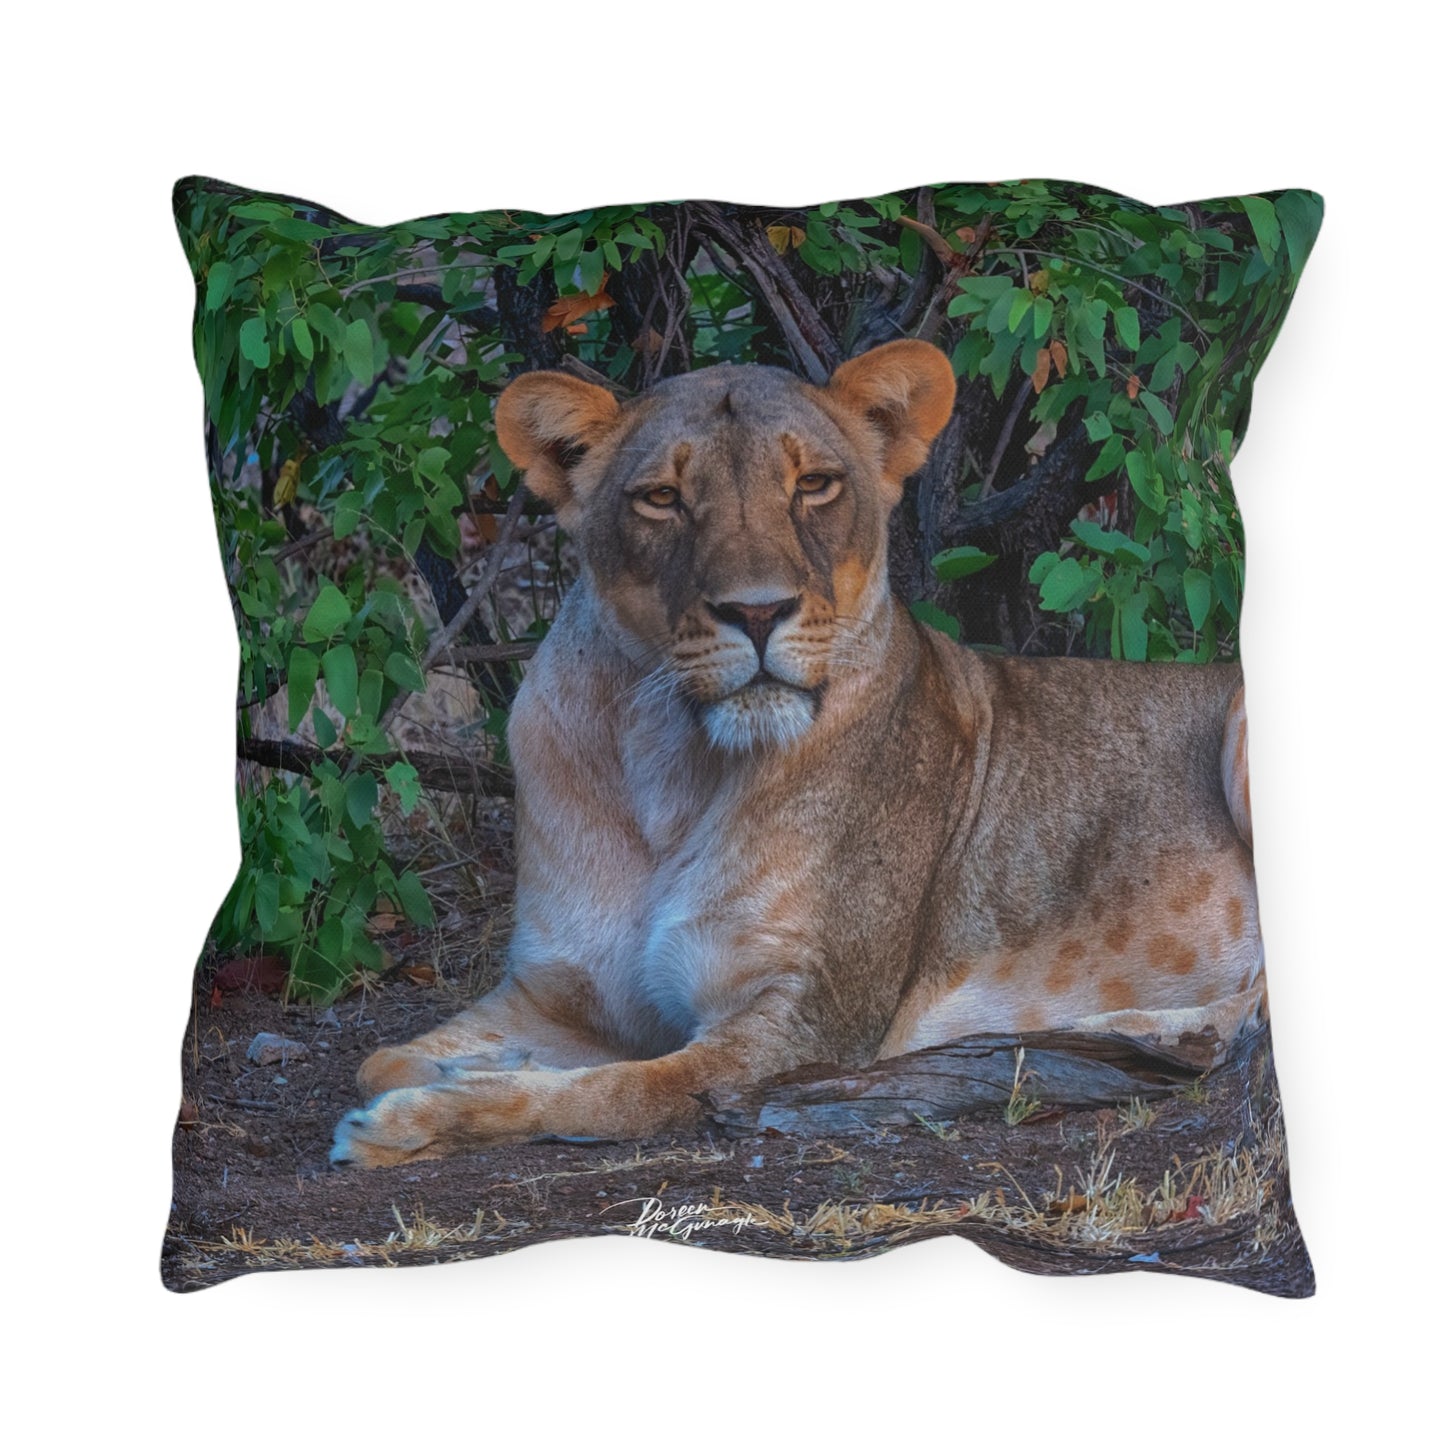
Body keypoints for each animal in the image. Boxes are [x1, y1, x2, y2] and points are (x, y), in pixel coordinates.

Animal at [331, 339, 1264, 1168]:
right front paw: (446, 1078)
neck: (668, 762)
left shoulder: (797, 1024)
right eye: (662, 498)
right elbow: (381, 1057)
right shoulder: (559, 991)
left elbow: (617, 1091)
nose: (756, 611)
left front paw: (413, 1123)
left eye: (812, 484)